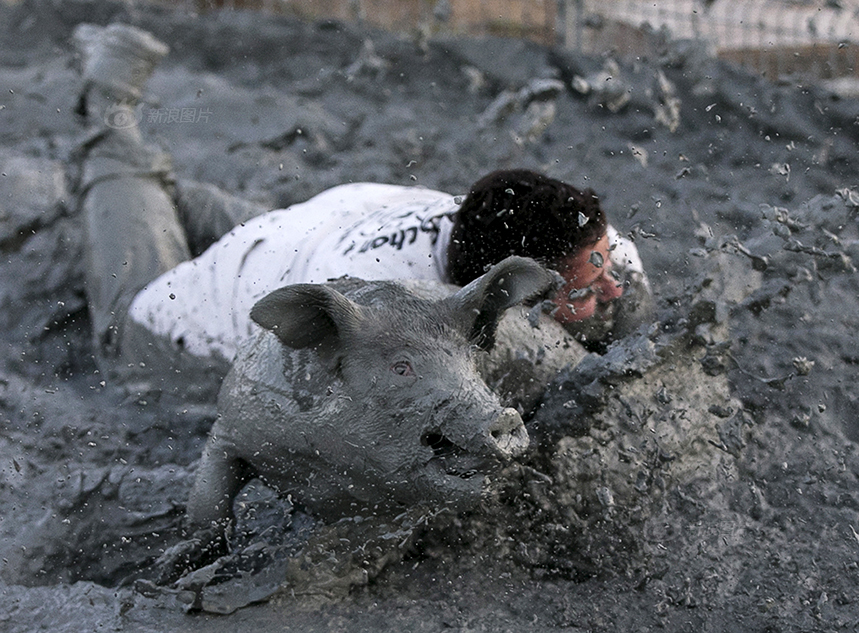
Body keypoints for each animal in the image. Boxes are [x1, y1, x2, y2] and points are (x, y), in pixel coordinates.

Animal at [185, 254, 568, 532]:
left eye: (471, 360)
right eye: (401, 367)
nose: (503, 416)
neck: (326, 460)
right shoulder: (232, 421)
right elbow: (207, 506)